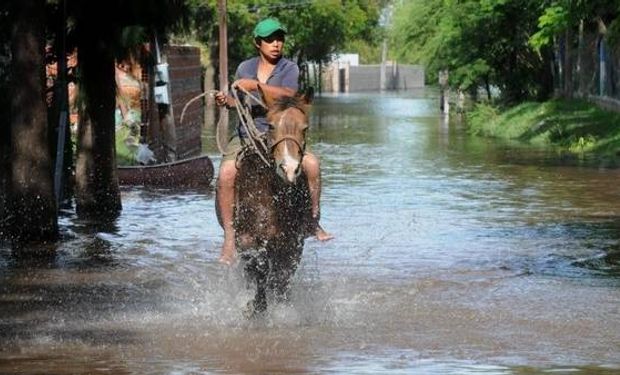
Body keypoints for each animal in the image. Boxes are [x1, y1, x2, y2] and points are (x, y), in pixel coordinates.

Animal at [235, 89, 318, 316]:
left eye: (305, 128)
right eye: (271, 125)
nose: (289, 168)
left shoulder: (292, 243)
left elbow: (282, 276)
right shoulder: (247, 240)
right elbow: (260, 267)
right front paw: (255, 306)